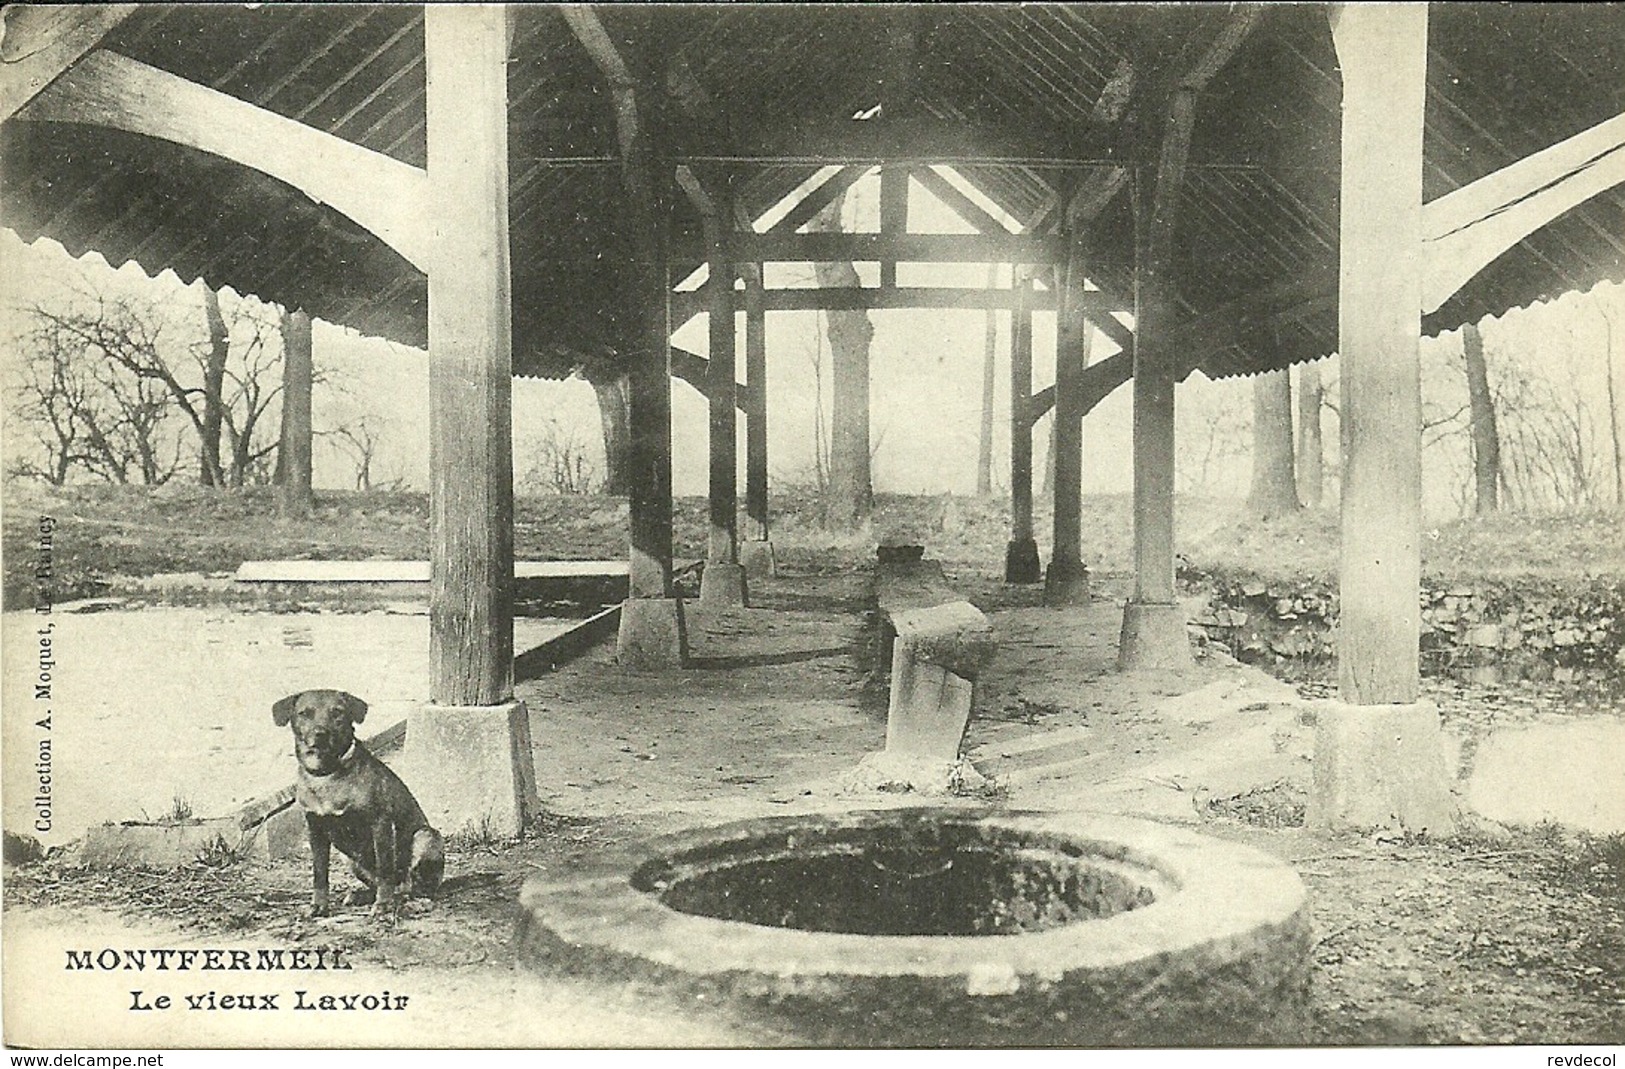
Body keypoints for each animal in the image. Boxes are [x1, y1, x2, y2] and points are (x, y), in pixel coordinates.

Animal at [269, 692, 445, 916]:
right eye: (304, 713)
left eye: (337, 712)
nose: (320, 734)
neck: (328, 773)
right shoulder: (316, 830)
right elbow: (319, 874)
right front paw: (319, 905)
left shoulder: (380, 824)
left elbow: (385, 869)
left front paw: (383, 904)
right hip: (350, 859)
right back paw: (361, 896)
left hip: (425, 836)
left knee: (413, 888)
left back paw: (407, 900)